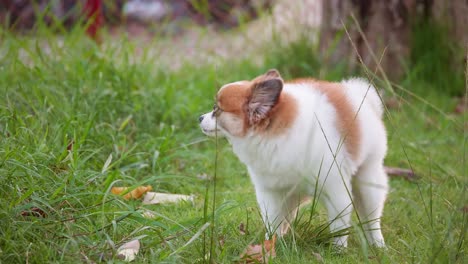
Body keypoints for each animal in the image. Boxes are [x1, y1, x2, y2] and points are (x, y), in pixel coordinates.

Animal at [199, 69, 390, 248]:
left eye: (217, 109)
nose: (200, 117)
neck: (273, 135)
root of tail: (357, 93)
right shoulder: (272, 193)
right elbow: (273, 222)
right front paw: (270, 245)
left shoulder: (335, 189)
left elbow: (339, 224)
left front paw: (338, 249)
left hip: (368, 182)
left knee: (372, 218)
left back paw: (378, 244)